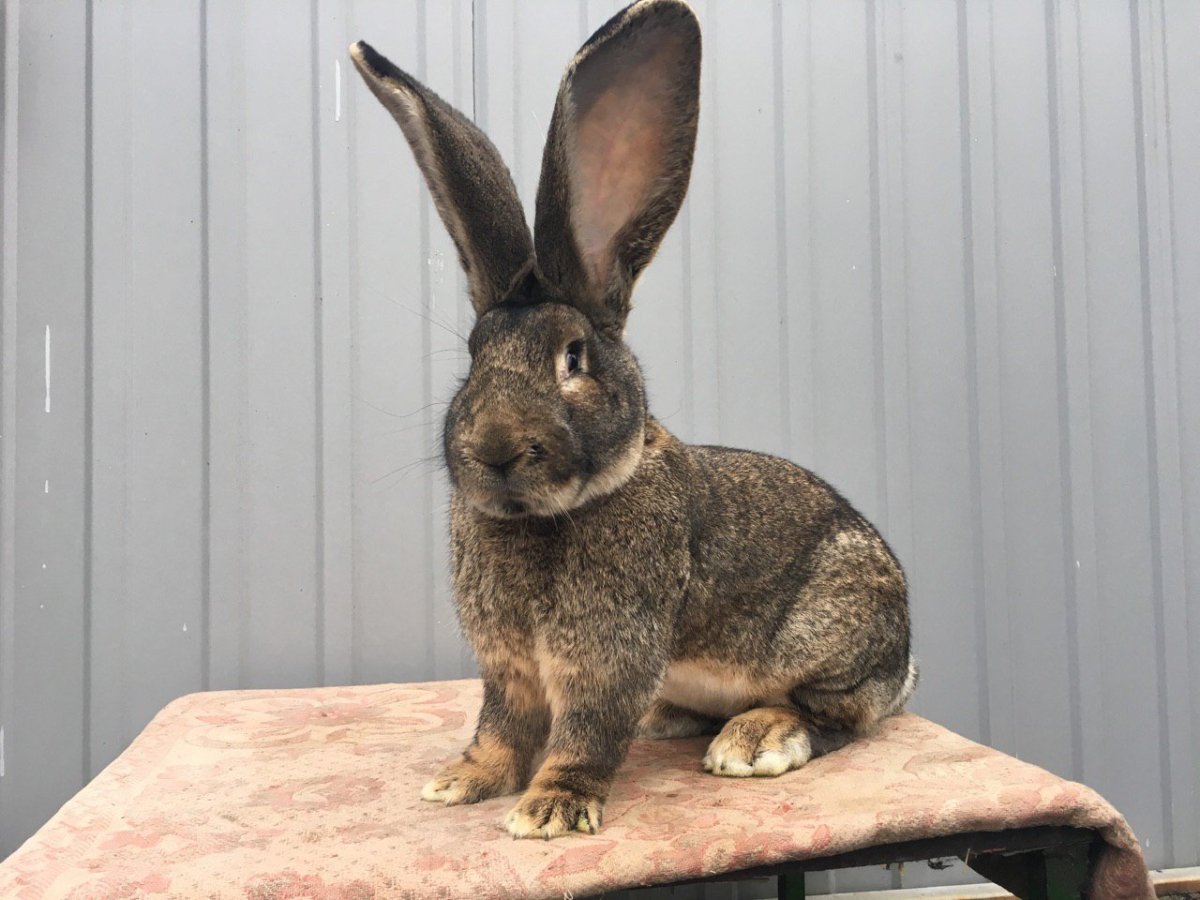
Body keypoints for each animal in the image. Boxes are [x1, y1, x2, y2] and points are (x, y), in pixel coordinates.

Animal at [349, 0, 916, 840]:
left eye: (573, 357)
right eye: (474, 356)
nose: (494, 447)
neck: (552, 513)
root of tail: (905, 663)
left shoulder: (608, 655)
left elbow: (583, 732)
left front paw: (550, 807)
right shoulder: (509, 669)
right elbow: (500, 725)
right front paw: (462, 781)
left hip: (832, 631)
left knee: (837, 715)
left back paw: (755, 740)